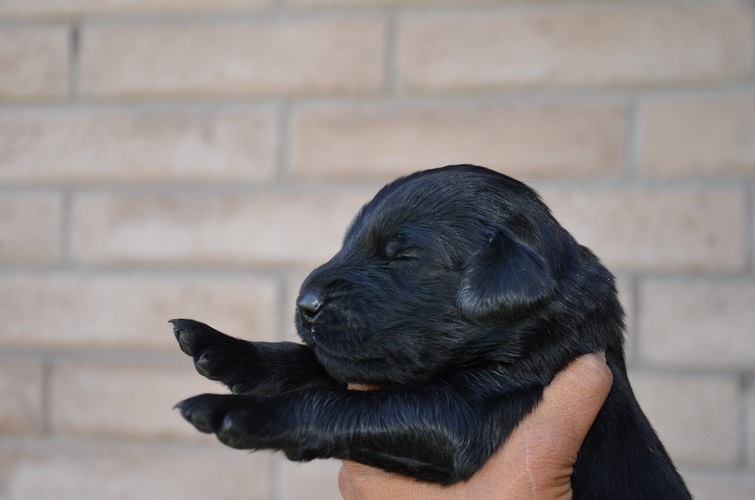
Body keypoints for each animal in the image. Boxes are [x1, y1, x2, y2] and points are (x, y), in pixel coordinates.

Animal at [174, 166, 692, 498]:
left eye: (402, 256)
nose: (305, 304)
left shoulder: (470, 410)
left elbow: (334, 401)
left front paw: (236, 411)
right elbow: (308, 361)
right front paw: (221, 347)